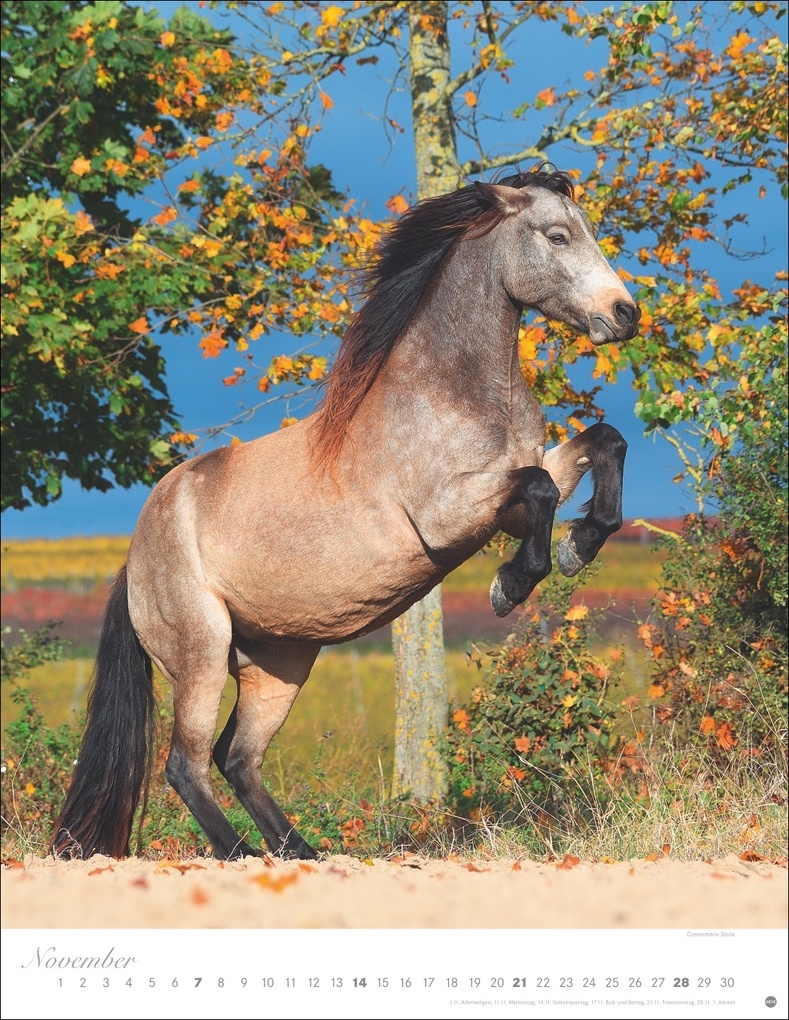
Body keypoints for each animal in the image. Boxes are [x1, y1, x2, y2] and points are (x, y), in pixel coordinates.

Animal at [51, 167, 640, 862]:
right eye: (557, 235)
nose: (626, 313)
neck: (450, 393)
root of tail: (134, 562)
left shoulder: (505, 506)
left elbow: (602, 444)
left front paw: (582, 542)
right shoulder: (449, 514)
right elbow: (543, 488)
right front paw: (512, 585)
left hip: (279, 665)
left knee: (238, 759)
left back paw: (303, 852)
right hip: (201, 656)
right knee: (186, 766)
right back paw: (243, 855)